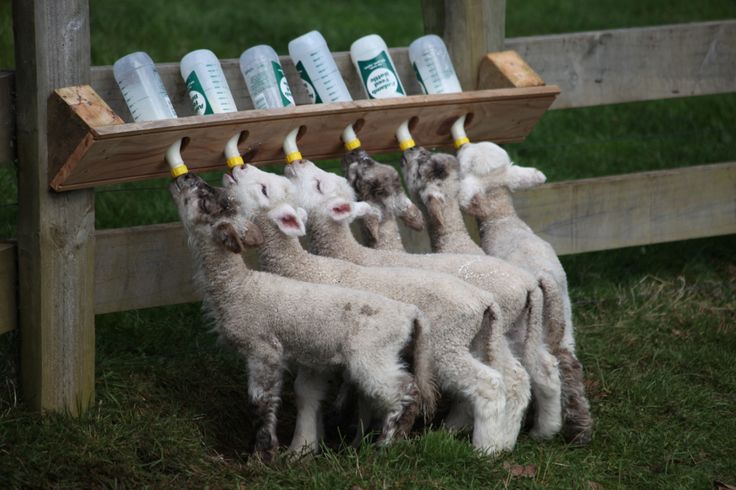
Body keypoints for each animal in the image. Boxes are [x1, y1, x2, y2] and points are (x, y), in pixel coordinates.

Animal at [171, 171, 436, 460]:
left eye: (204, 202)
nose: (186, 176)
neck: (239, 286)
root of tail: (410, 313)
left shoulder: (263, 349)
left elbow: (260, 402)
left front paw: (261, 455)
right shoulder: (300, 353)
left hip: (372, 356)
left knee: (405, 392)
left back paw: (385, 447)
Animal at [344, 149, 564, 440]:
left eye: (424, 170)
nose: (410, 151)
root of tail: (530, 282)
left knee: (505, 378)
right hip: (520, 329)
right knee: (544, 367)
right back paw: (544, 429)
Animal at [458, 140, 596, 446]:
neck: (502, 220)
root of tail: (544, 275)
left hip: (523, 329)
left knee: (543, 369)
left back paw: (542, 429)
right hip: (563, 318)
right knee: (568, 364)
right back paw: (578, 428)